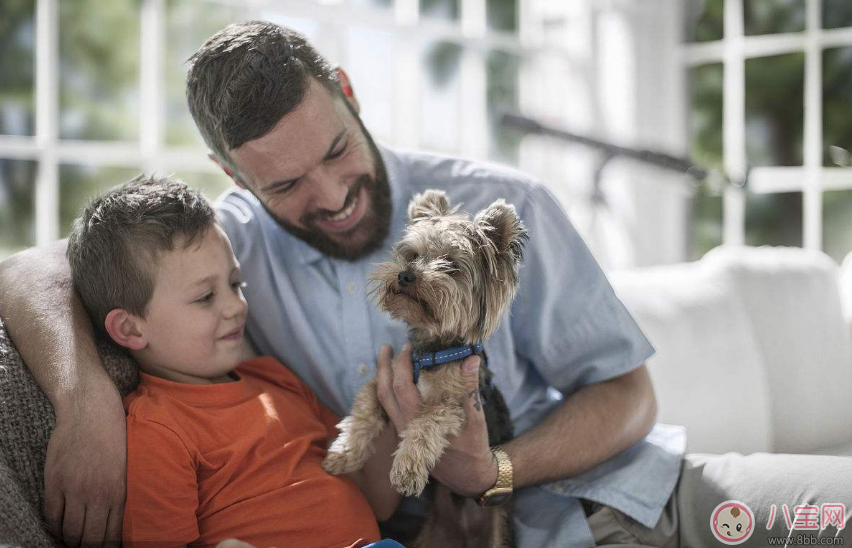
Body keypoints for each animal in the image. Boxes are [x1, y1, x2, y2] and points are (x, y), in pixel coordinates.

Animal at [324, 189, 528, 548]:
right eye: (412, 255)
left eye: (451, 265)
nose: (406, 274)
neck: (434, 349)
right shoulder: (385, 381)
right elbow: (364, 410)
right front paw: (345, 451)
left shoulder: (454, 403)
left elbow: (424, 424)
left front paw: (406, 469)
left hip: (498, 531)